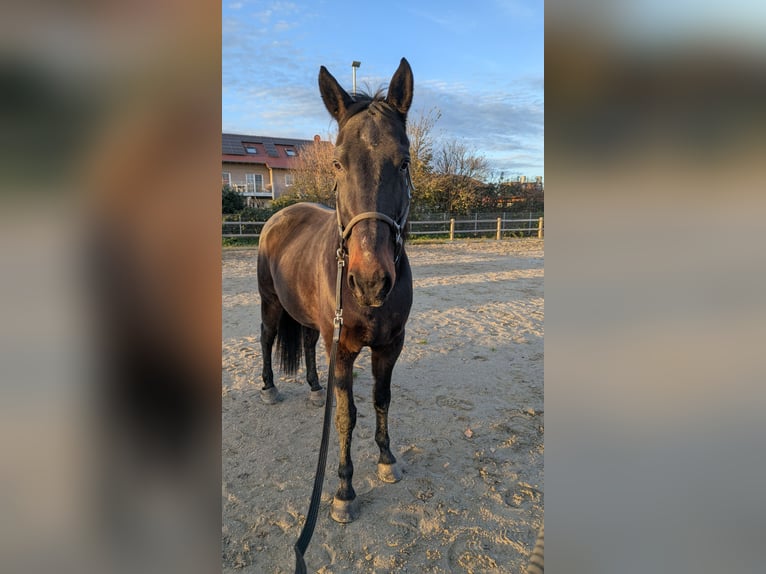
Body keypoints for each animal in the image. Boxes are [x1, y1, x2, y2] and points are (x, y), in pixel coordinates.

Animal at [257, 58, 414, 523]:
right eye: (338, 164)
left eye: (404, 162)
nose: (370, 280)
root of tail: (280, 215)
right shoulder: (342, 349)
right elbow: (345, 416)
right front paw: (344, 490)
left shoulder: (390, 346)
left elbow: (381, 399)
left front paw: (387, 460)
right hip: (270, 303)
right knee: (267, 339)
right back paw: (270, 388)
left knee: (308, 344)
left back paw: (312, 389)